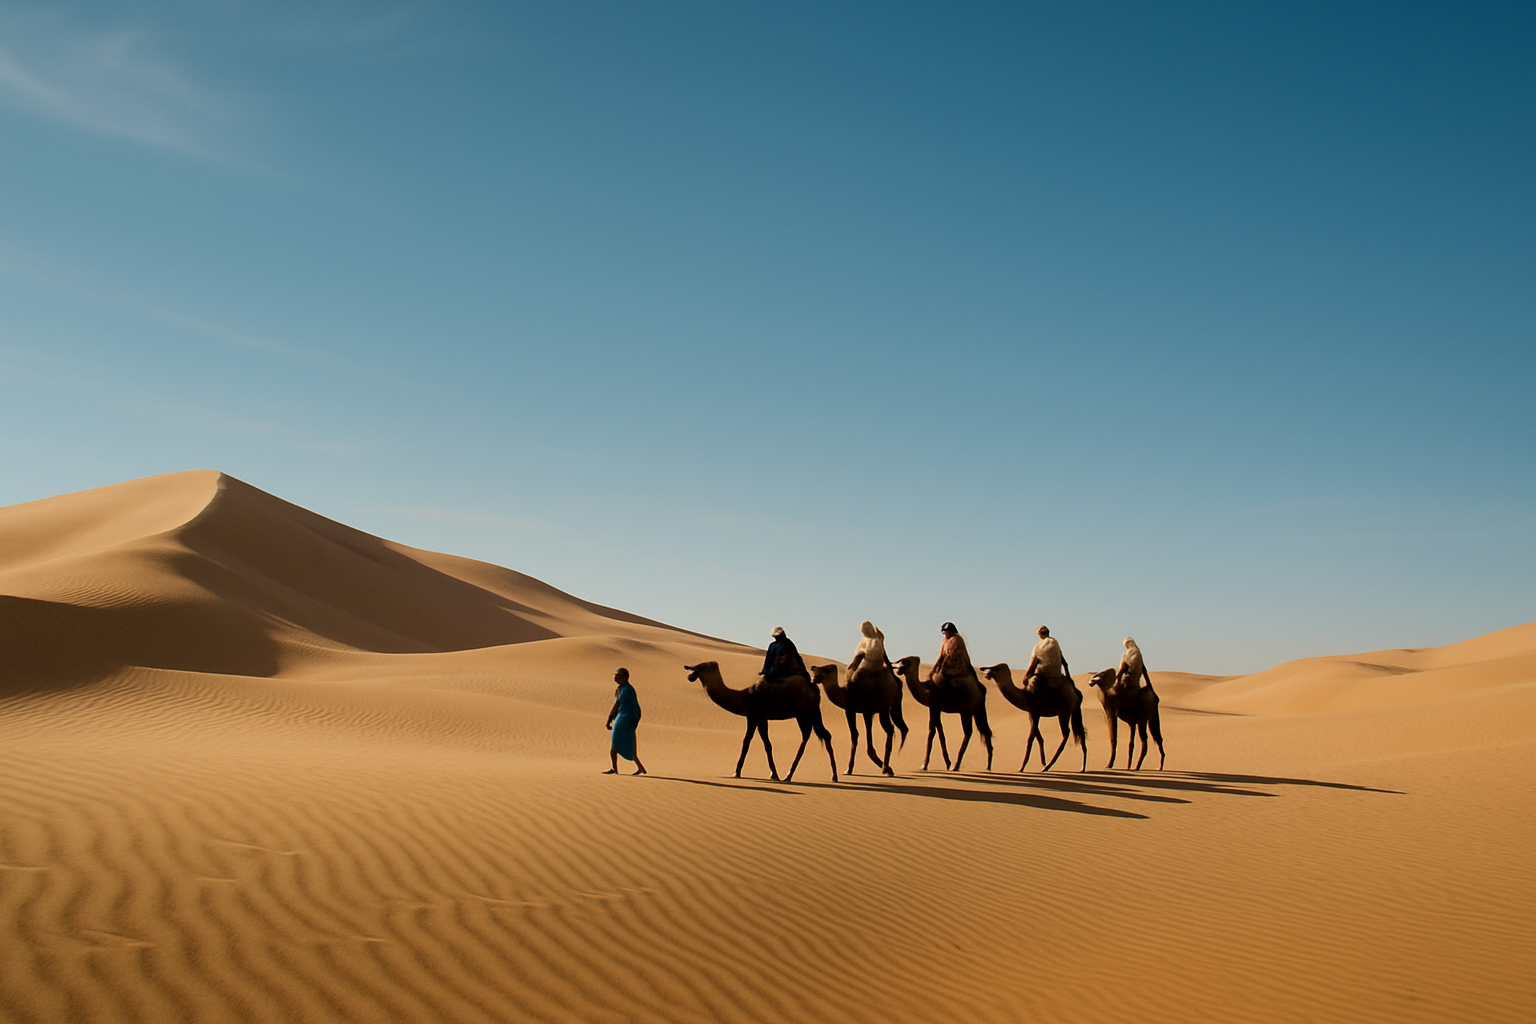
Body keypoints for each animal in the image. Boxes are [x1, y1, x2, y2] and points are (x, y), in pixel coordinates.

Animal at [686, 661, 838, 782]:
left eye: (700, 667)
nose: (689, 675)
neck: (744, 697)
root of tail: (815, 690)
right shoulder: (762, 718)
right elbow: (767, 744)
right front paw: (773, 774)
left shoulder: (753, 715)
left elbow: (746, 741)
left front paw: (736, 772)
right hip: (814, 713)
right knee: (825, 734)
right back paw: (833, 776)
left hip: (803, 713)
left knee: (806, 735)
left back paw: (789, 776)